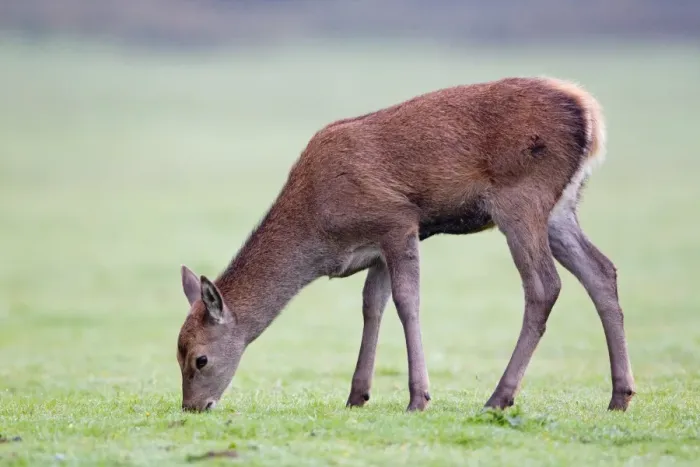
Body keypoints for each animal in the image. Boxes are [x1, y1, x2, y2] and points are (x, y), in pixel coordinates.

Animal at [176, 76, 636, 414]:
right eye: (176, 354)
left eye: (200, 359)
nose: (192, 407)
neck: (320, 230)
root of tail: (588, 111)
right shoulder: (376, 246)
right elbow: (371, 305)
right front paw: (357, 395)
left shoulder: (397, 221)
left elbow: (406, 300)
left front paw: (418, 398)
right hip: (561, 207)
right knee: (602, 271)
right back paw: (619, 396)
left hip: (521, 196)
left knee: (544, 285)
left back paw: (499, 397)